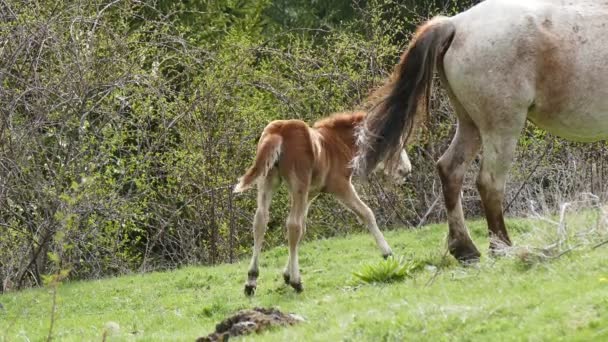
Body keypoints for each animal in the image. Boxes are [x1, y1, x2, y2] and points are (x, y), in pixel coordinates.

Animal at [354, 0, 608, 262]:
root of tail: (455, 24)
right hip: (501, 128)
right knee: (489, 182)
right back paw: (501, 247)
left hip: (471, 126)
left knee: (450, 170)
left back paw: (465, 249)